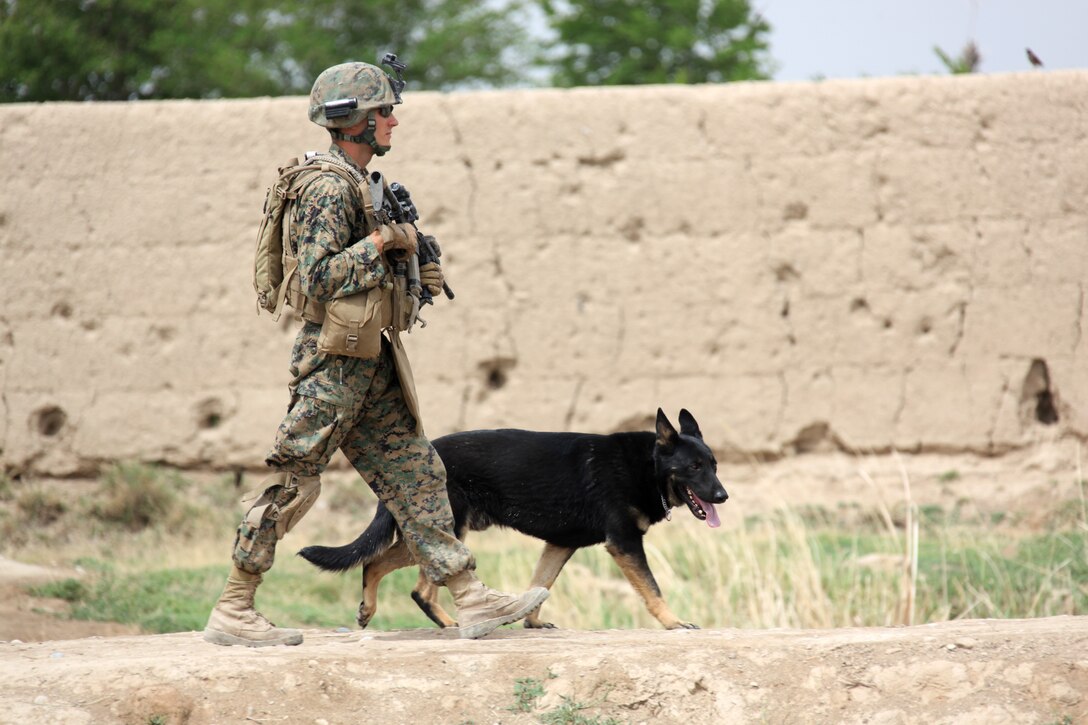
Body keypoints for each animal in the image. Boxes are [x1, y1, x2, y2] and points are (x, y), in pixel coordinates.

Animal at [295, 407, 731, 627]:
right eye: (693, 467)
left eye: (713, 464)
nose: (723, 496)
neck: (649, 466)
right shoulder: (624, 543)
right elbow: (653, 590)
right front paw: (674, 622)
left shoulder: (560, 545)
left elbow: (540, 584)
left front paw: (531, 621)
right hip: (448, 531)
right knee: (413, 583)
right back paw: (451, 625)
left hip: (441, 532)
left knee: (378, 564)